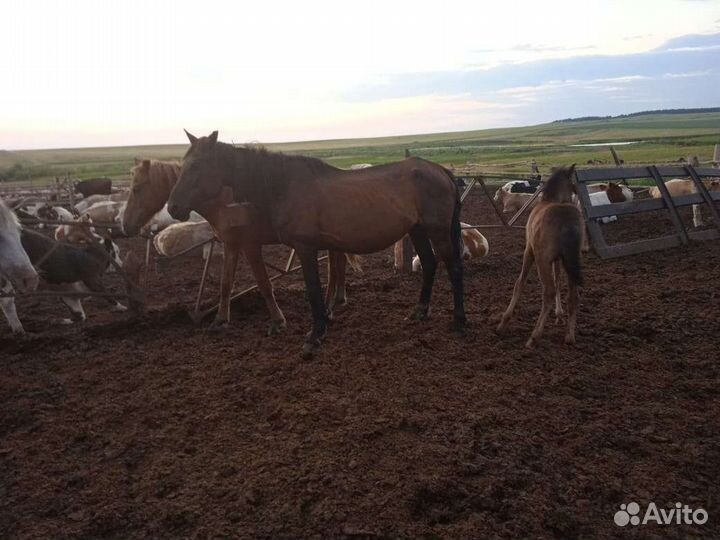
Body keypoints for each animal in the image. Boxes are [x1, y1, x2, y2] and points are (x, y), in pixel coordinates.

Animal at [122, 158, 356, 334]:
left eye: (137, 188)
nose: (126, 225)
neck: (222, 202)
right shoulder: (231, 245)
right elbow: (226, 283)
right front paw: (220, 321)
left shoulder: (250, 245)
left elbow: (264, 283)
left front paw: (278, 321)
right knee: (338, 264)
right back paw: (338, 299)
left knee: (334, 268)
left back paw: (330, 307)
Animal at [168, 130, 465, 358]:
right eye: (182, 165)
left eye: (196, 166)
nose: (173, 207)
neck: (282, 185)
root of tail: (440, 171)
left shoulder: (304, 248)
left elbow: (312, 290)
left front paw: (314, 335)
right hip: (417, 230)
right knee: (429, 264)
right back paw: (420, 311)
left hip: (437, 231)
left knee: (452, 267)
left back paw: (459, 320)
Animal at [496, 165, 583, 348]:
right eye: (573, 186)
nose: (575, 199)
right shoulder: (559, 260)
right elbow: (558, 281)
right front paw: (559, 315)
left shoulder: (529, 251)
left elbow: (520, 283)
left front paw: (504, 321)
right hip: (571, 261)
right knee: (573, 297)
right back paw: (570, 336)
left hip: (542, 260)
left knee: (548, 292)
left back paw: (534, 336)